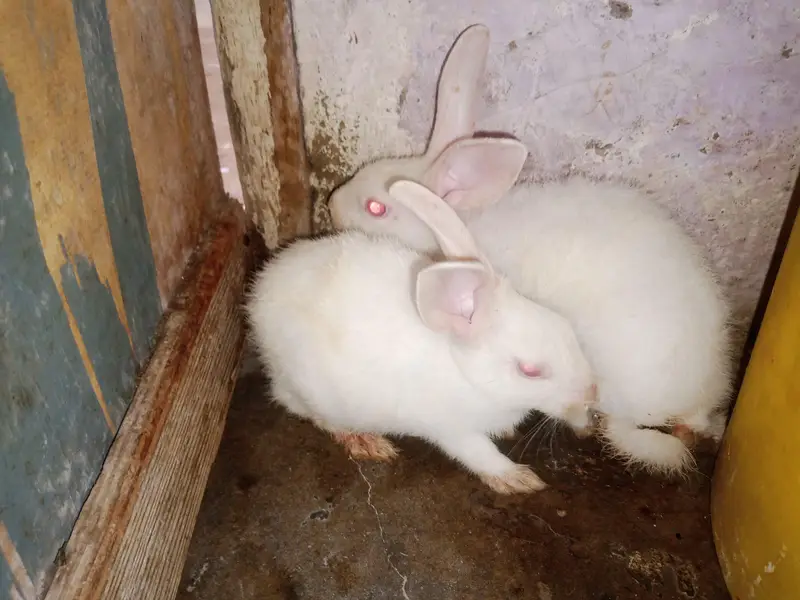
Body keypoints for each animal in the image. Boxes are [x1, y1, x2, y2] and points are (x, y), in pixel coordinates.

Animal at [246, 179, 597, 494]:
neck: (468, 374)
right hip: (311, 389)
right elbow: (479, 453)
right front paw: (517, 479)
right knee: (303, 409)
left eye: (566, 328)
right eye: (530, 371)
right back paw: (364, 441)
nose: (591, 395)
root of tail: (260, 291)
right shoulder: (451, 428)